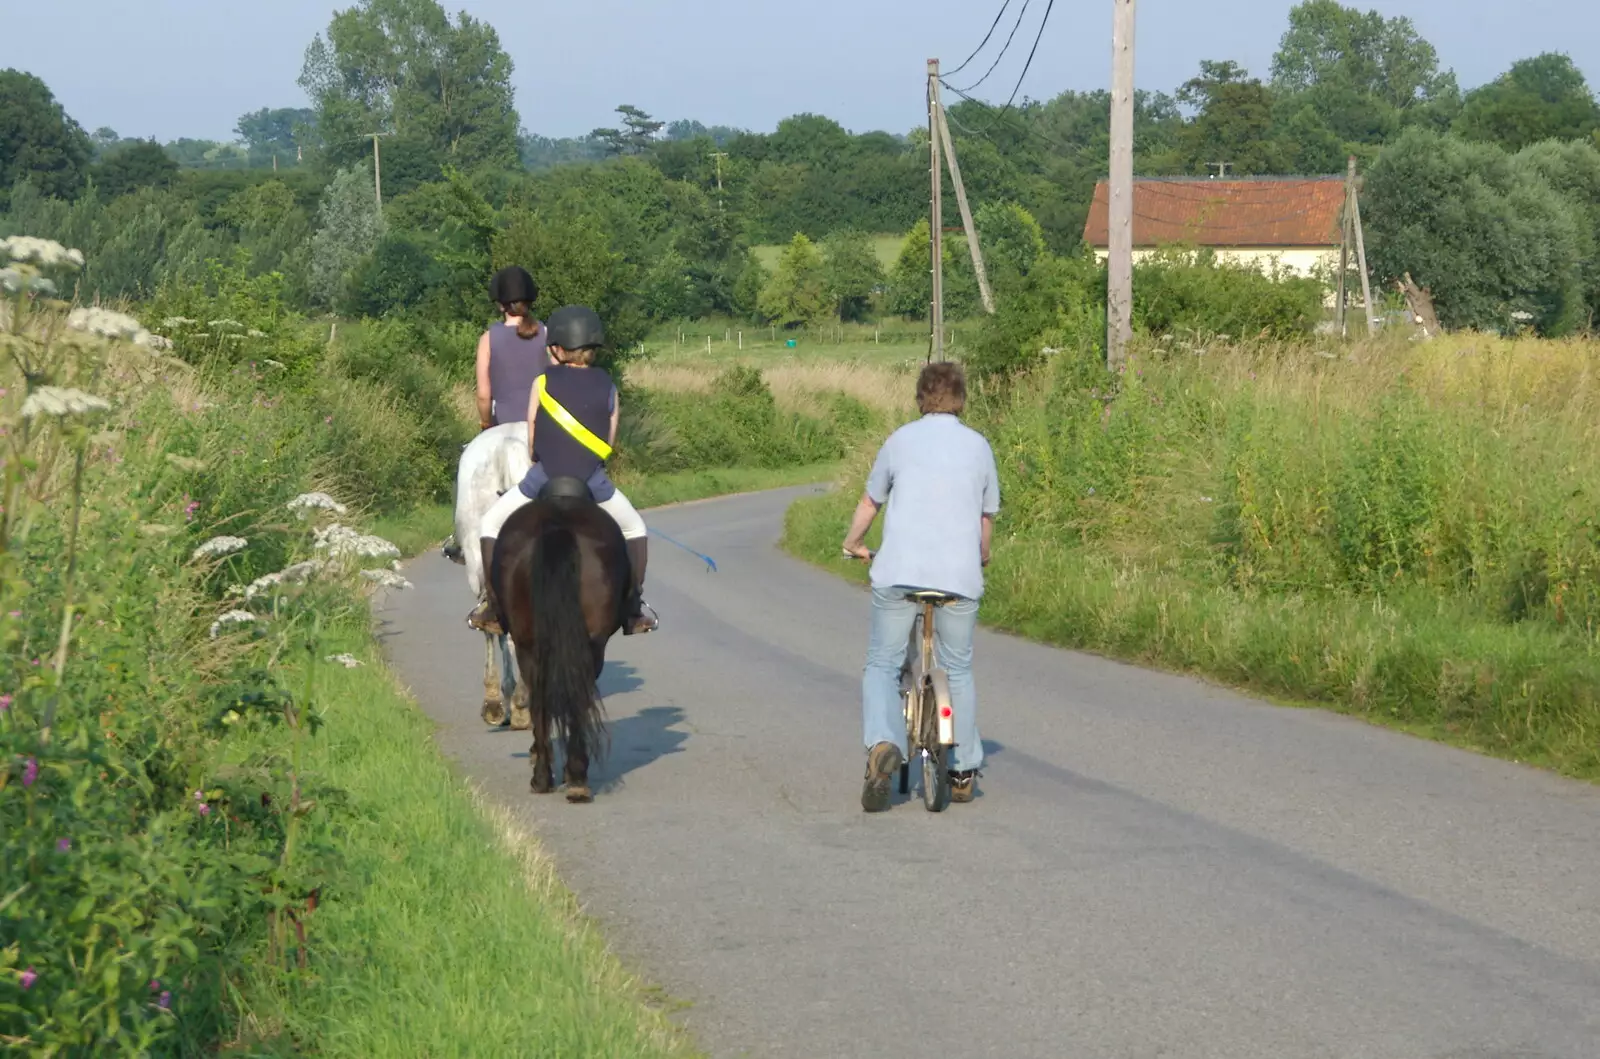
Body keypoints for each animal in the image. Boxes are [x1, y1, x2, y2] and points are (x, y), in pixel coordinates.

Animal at [486, 479, 630, 806]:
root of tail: (558, 525)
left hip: (532, 645)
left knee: (546, 697)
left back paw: (552, 776)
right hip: (584, 646)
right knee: (570, 695)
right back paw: (569, 777)